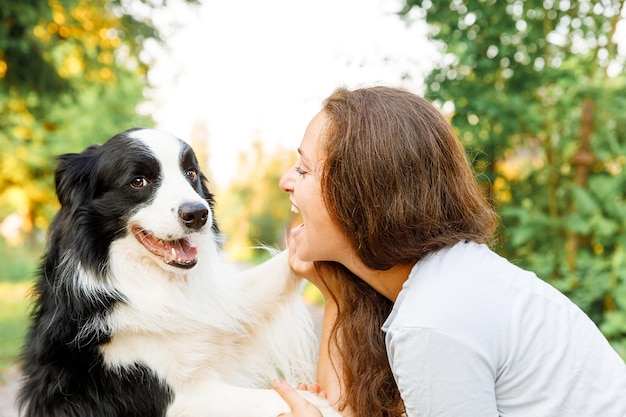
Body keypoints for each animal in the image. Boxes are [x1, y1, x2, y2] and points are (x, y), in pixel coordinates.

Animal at [17, 127, 338, 416]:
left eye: (191, 174)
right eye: (138, 181)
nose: (197, 214)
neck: (157, 283)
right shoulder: (172, 396)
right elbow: (274, 398)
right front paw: (323, 405)